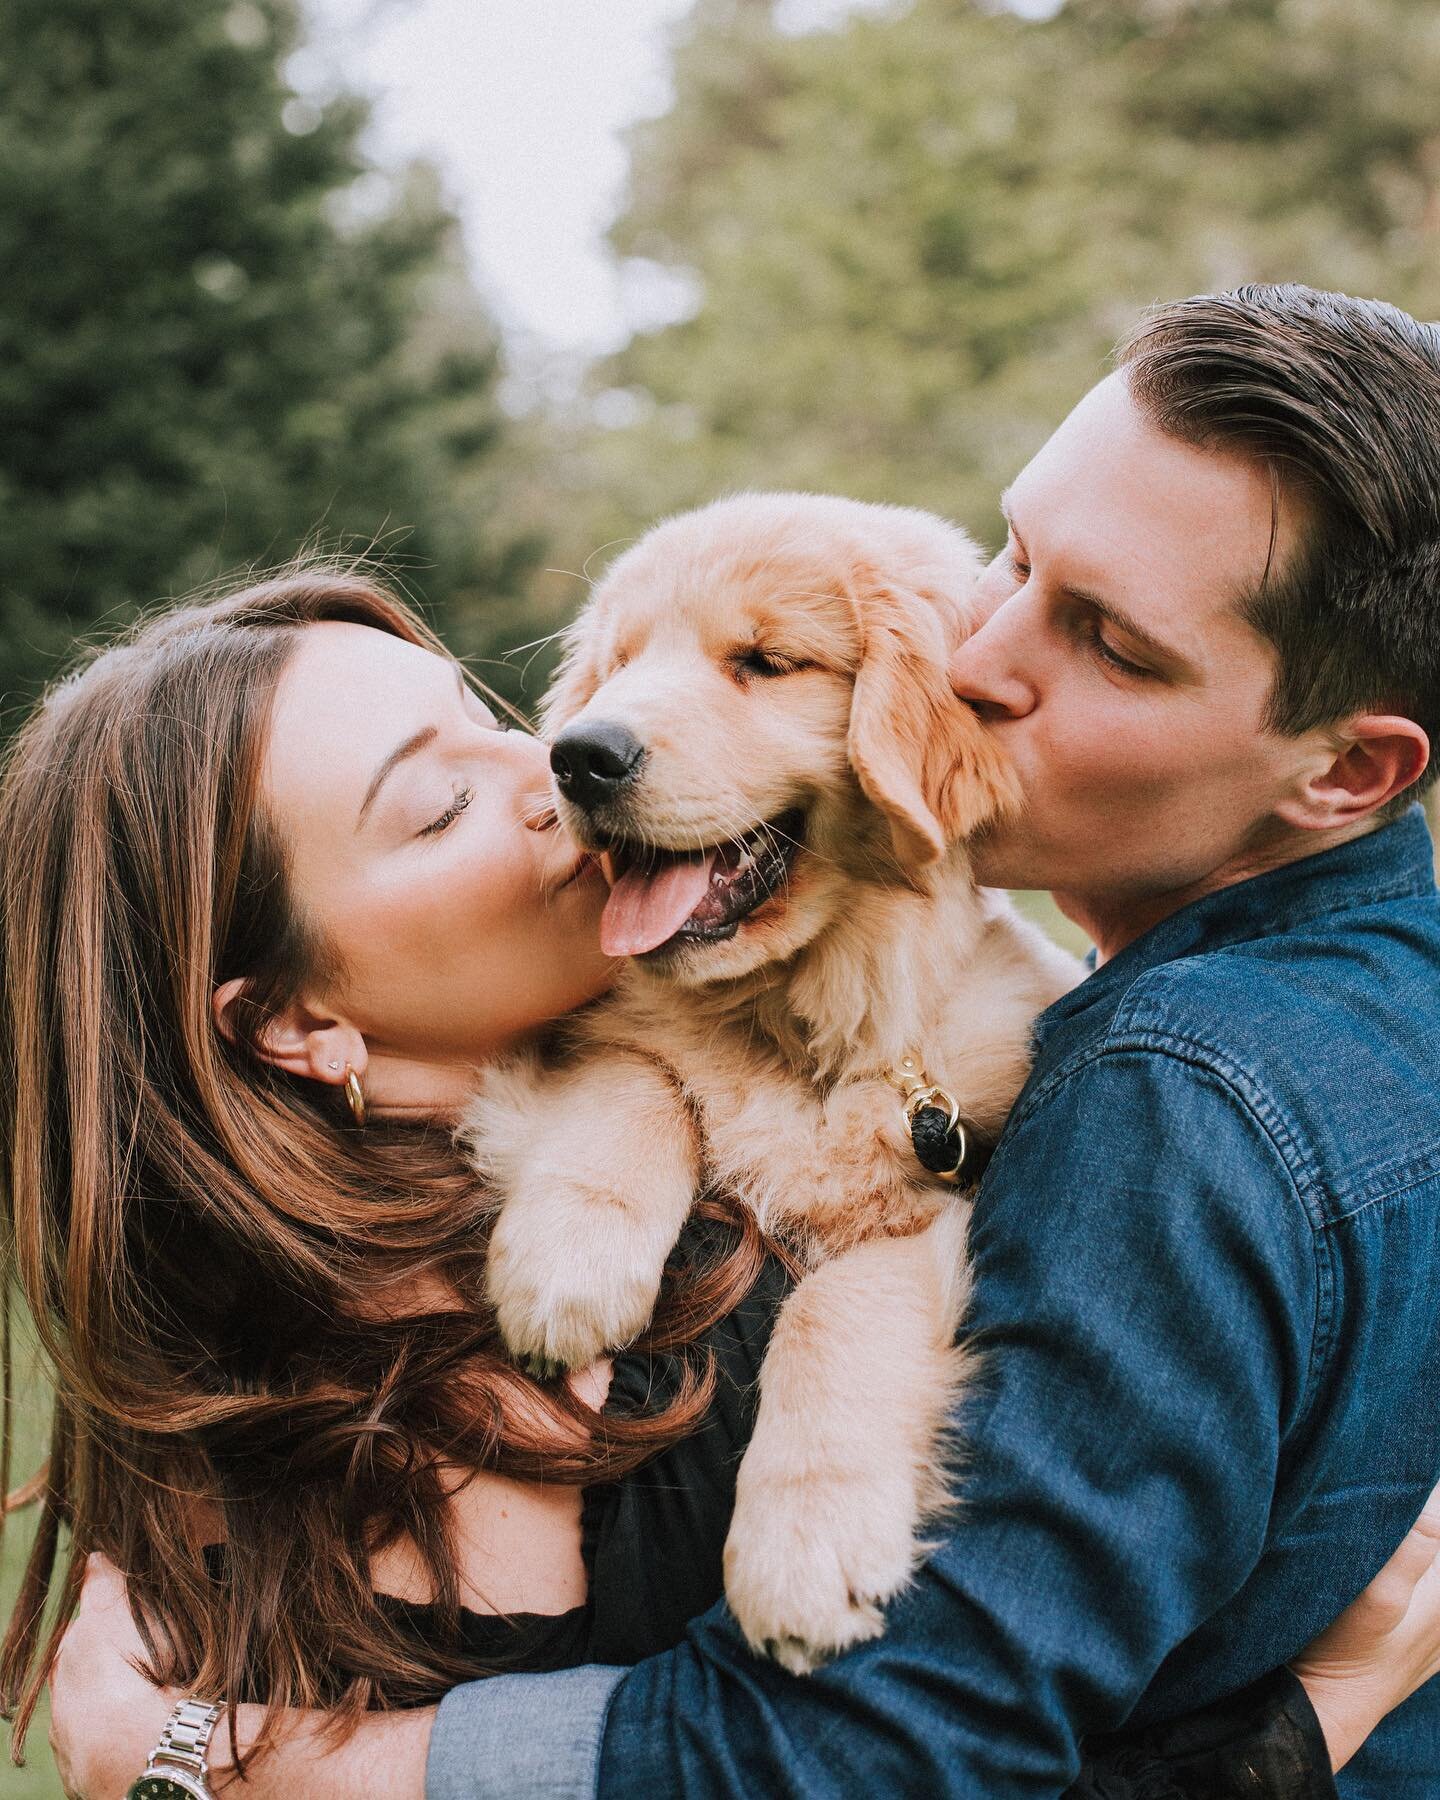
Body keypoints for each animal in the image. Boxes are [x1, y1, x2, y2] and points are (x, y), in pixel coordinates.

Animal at [464, 493, 1080, 1670]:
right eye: (619, 664)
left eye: (765, 662)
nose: (579, 755)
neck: (797, 1033)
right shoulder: (592, 1039)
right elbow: (642, 1083)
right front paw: (571, 1261)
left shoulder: (949, 1198)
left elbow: (837, 1305)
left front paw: (805, 1547)